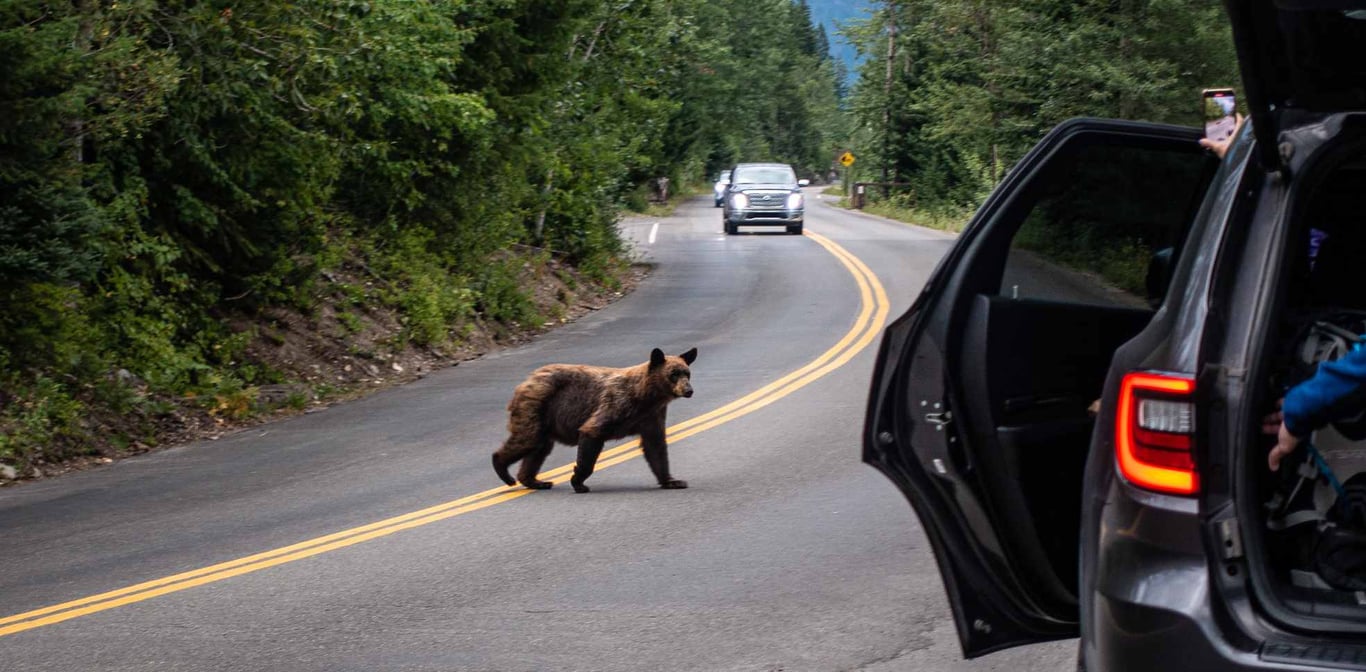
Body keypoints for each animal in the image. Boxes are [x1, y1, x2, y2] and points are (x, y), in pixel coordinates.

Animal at [491, 346, 699, 494]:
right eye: (674, 374)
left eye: (687, 373)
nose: (689, 390)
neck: (647, 395)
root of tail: (526, 380)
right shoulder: (618, 404)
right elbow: (592, 432)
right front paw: (578, 482)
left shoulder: (651, 415)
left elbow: (655, 446)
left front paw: (673, 481)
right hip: (537, 407)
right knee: (528, 439)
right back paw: (504, 471)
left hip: (545, 419)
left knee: (539, 448)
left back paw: (535, 481)